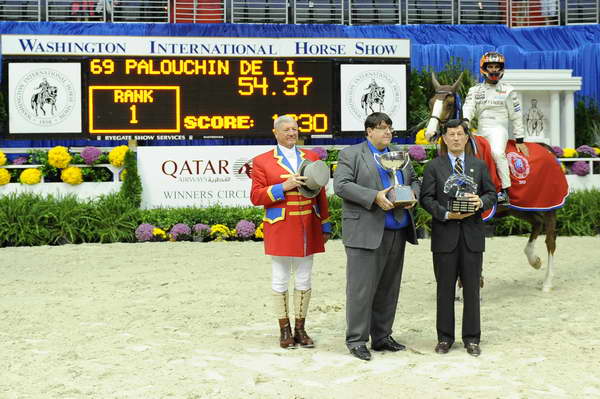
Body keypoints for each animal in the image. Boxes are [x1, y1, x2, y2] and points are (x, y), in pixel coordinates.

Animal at [424, 72, 564, 292]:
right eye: (431, 102)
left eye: (448, 103)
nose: (430, 133)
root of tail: (547, 148)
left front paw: (471, 286)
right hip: (520, 207)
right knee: (537, 223)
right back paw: (534, 260)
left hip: (549, 205)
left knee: (550, 239)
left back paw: (547, 282)